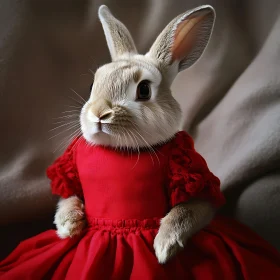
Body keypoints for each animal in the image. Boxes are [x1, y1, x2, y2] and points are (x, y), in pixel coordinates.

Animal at [55, 3, 217, 264]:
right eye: (92, 86)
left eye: (144, 90)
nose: (99, 113)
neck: (119, 150)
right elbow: (68, 196)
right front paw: (67, 227)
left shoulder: (193, 177)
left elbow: (189, 209)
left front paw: (164, 246)